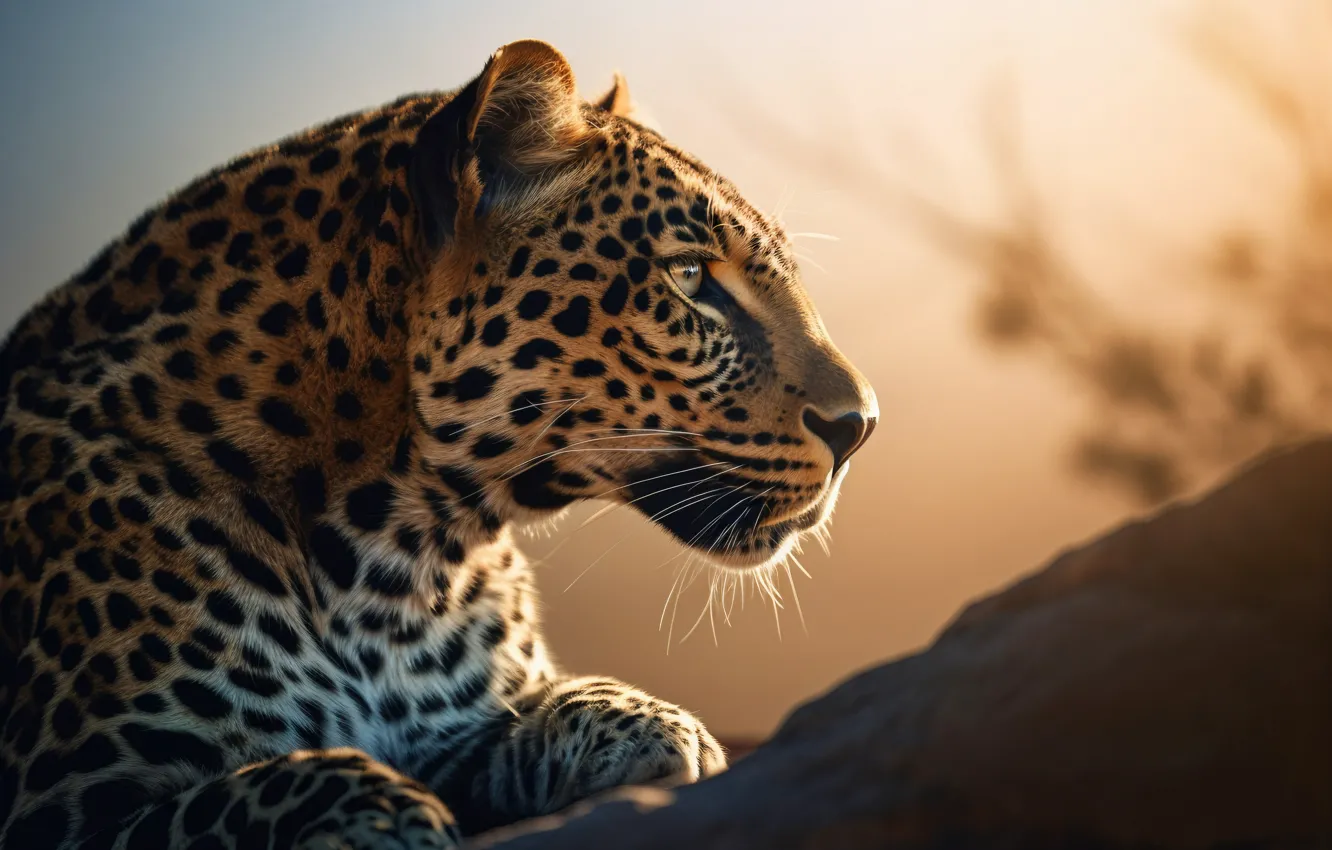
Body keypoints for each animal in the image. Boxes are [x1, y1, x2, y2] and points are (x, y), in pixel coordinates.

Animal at [0, 39, 877, 849]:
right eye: (691, 275)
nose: (861, 426)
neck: (399, 553)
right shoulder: (69, 809)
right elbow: (274, 780)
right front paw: (387, 816)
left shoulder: (456, 728)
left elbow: (534, 711)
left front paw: (655, 726)